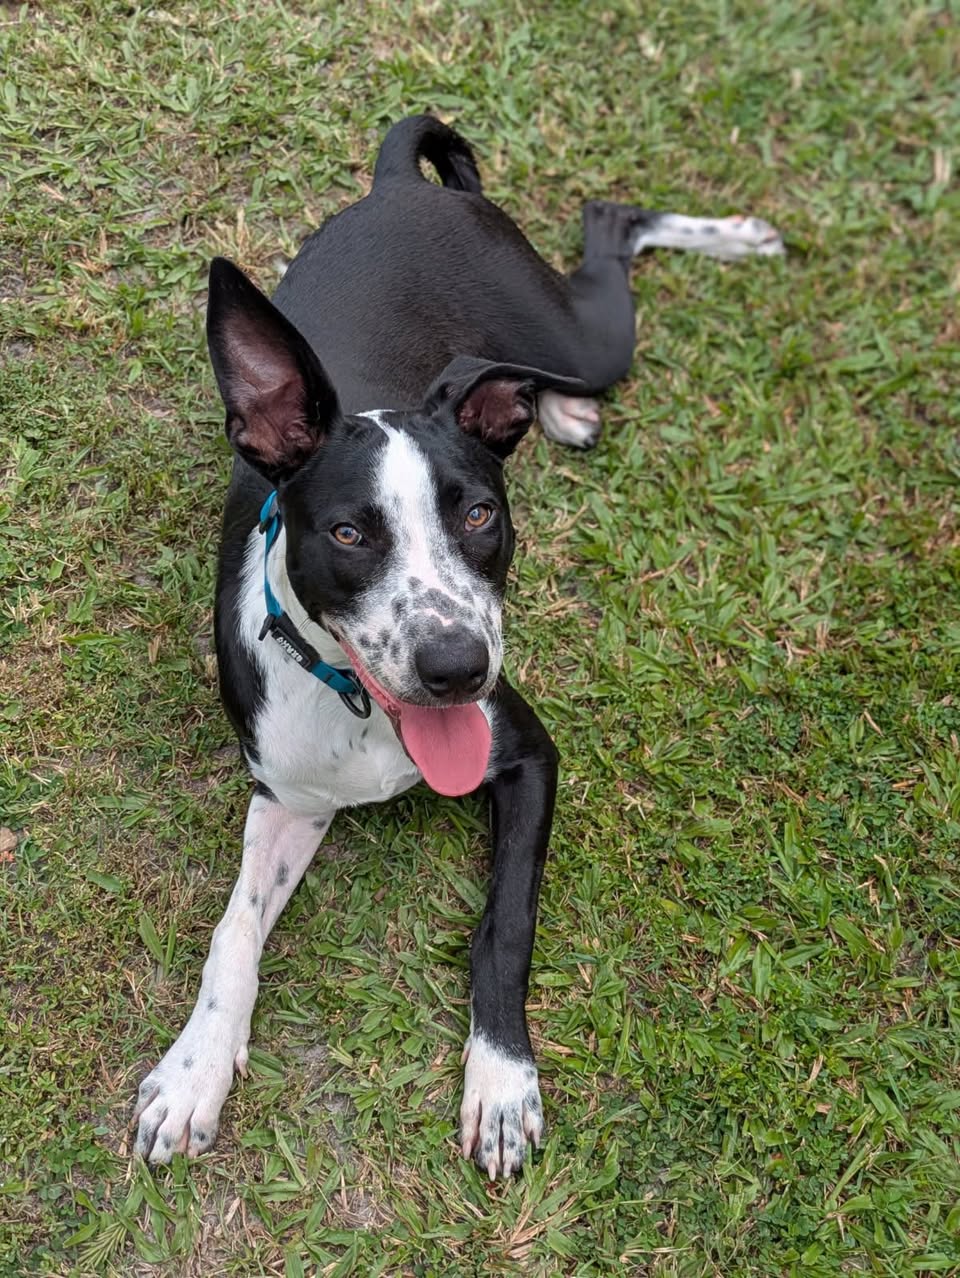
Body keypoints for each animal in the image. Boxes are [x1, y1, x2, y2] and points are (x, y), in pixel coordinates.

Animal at [132, 115, 783, 1179]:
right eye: (349, 534)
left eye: (481, 514)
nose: (456, 670)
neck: (361, 713)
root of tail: (399, 182)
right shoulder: (288, 799)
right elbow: (231, 934)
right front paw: (193, 1071)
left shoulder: (527, 756)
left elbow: (504, 925)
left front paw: (503, 1084)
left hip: (570, 337)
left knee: (610, 223)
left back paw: (726, 244)